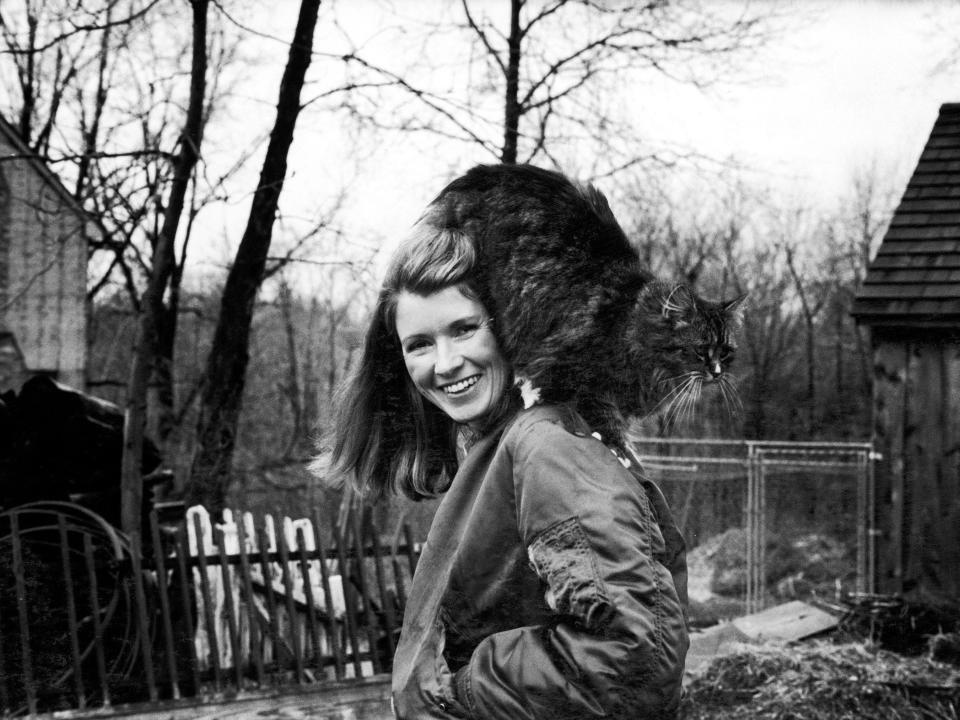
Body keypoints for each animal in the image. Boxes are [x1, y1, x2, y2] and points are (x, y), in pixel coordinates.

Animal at [420, 163, 744, 444]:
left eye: (725, 352)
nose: (717, 372)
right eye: (701, 350)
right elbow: (606, 426)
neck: (629, 325)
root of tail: (477, 176)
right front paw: (621, 451)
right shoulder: (572, 376)